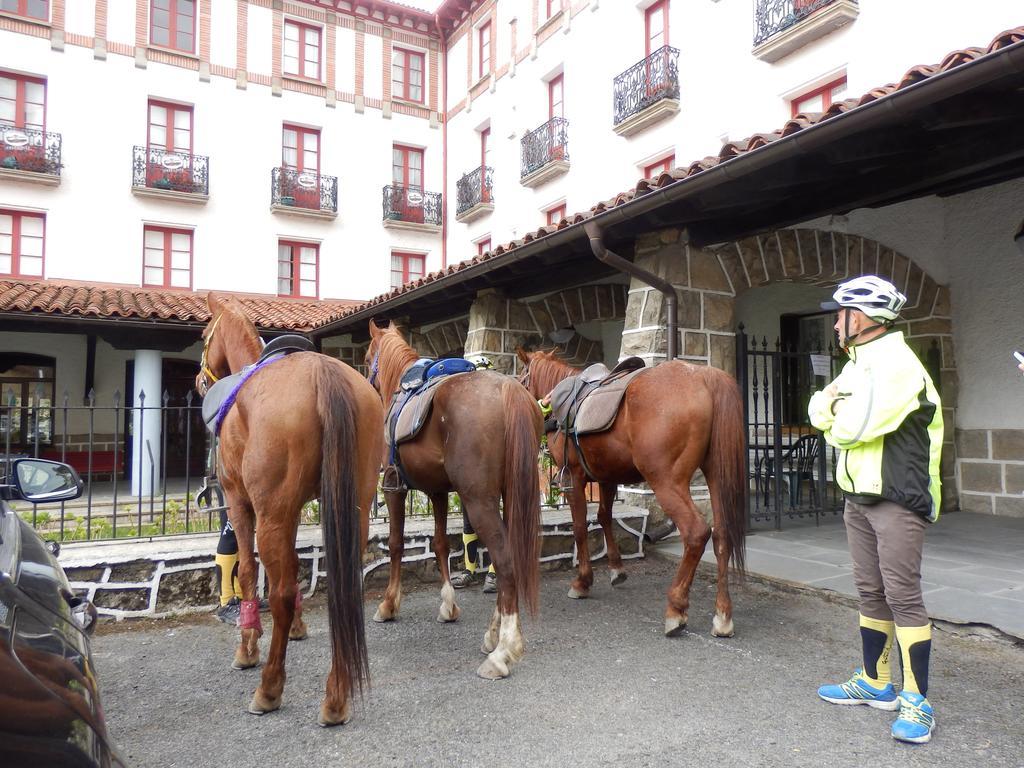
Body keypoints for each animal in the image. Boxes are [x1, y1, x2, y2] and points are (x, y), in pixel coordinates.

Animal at [192, 296, 385, 729]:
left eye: (205, 333)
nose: (198, 379)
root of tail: (323, 374)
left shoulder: (242, 504)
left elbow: (249, 572)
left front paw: (248, 645)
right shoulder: (293, 510)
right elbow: (295, 565)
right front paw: (297, 627)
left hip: (269, 516)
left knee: (276, 593)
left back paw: (269, 688)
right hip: (352, 508)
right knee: (346, 585)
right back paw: (336, 695)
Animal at [368, 321, 544, 684]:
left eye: (366, 357)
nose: (366, 380)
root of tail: (509, 390)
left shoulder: (395, 489)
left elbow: (395, 544)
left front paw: (389, 605)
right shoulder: (438, 492)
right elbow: (439, 544)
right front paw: (448, 606)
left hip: (479, 501)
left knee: (505, 562)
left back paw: (504, 650)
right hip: (508, 497)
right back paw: (493, 635)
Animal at [520, 348, 745, 638]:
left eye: (522, 379)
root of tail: (704, 376)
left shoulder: (573, 477)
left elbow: (580, 527)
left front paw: (582, 581)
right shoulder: (606, 479)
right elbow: (604, 517)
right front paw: (617, 569)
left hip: (666, 481)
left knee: (696, 533)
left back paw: (676, 608)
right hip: (716, 475)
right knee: (722, 534)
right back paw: (723, 615)